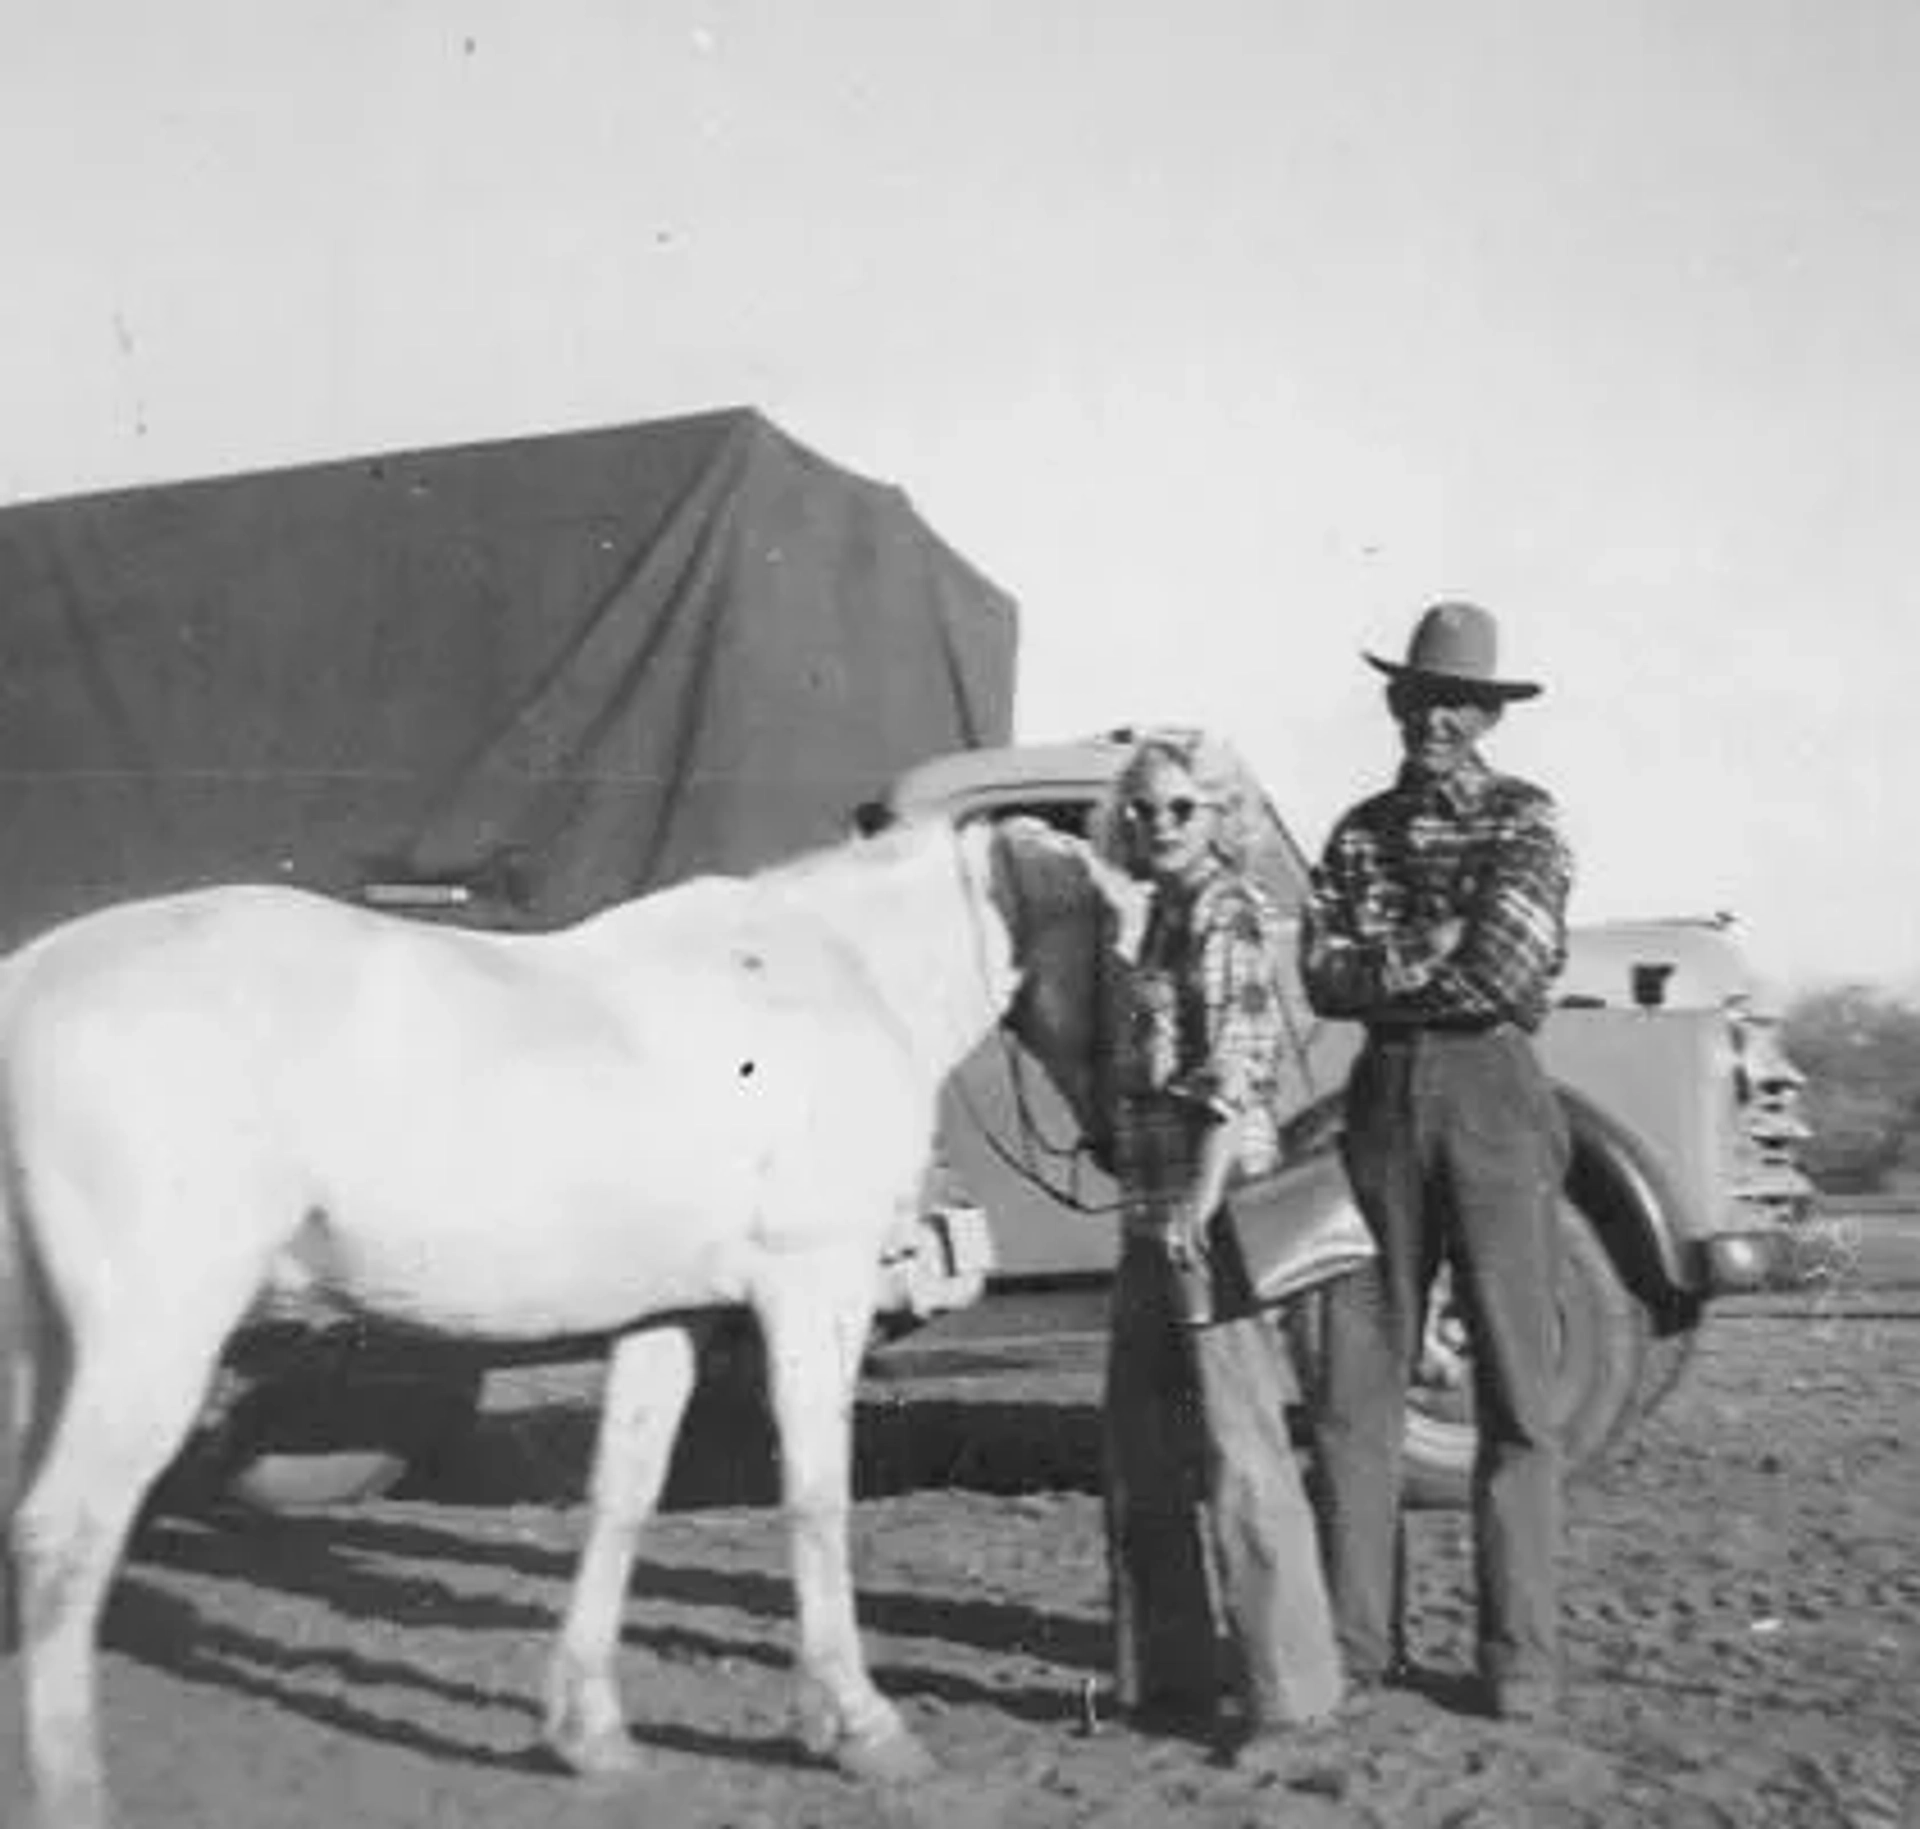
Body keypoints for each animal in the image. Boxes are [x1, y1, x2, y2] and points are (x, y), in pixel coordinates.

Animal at [0, 813, 1121, 1827]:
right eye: (1128, 940)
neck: (834, 976)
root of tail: (30, 982)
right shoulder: (815, 1288)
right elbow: (815, 1498)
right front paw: (860, 1727)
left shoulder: (670, 1317)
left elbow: (620, 1498)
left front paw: (590, 1732)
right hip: (148, 1338)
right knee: (65, 1537)